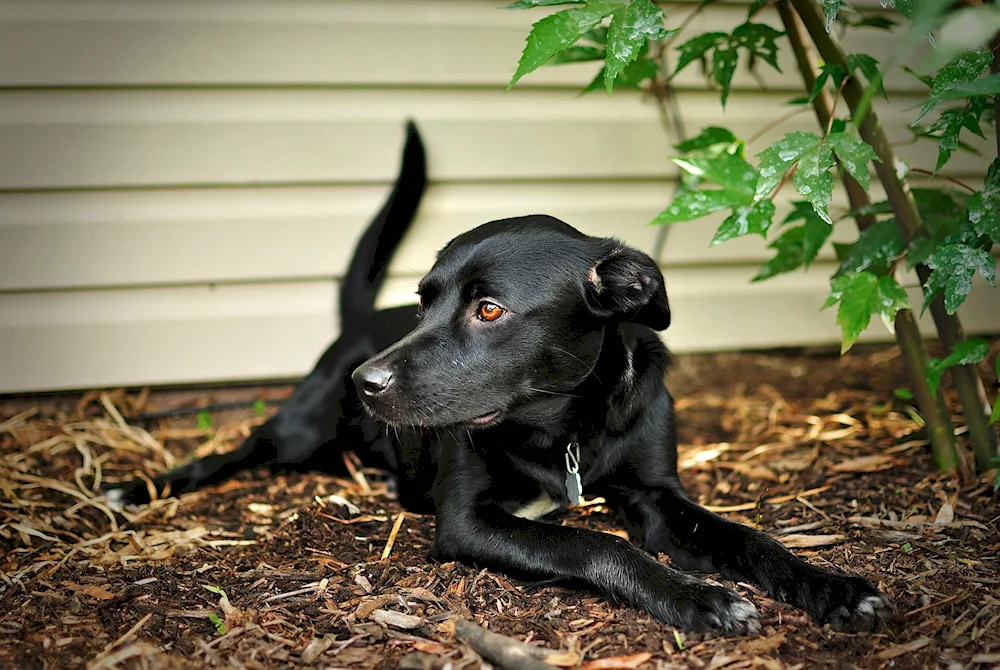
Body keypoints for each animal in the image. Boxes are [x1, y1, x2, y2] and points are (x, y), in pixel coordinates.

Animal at [109, 123, 892, 636]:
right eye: (424, 302)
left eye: (489, 309)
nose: (367, 382)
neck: (566, 426)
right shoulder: (468, 520)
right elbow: (596, 544)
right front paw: (697, 598)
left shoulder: (657, 496)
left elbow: (749, 539)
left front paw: (833, 587)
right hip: (299, 429)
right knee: (238, 449)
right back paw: (139, 488)